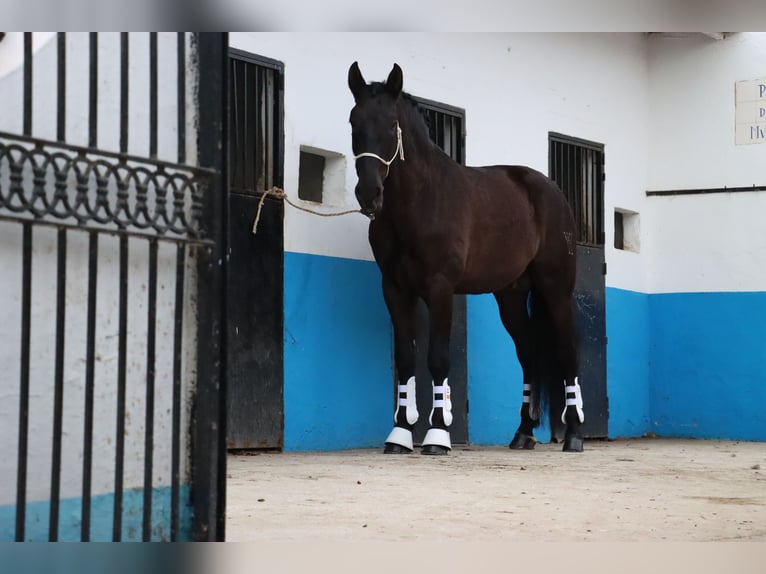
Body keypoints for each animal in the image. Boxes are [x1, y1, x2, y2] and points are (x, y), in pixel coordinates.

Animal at [350, 63, 588, 456]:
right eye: (354, 121)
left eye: (390, 125)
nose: (369, 194)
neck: (420, 201)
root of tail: (551, 190)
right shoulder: (395, 289)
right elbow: (406, 359)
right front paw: (400, 435)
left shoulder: (440, 288)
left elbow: (437, 357)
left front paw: (437, 436)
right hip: (510, 297)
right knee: (528, 355)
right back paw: (522, 433)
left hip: (556, 290)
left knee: (567, 351)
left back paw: (574, 435)